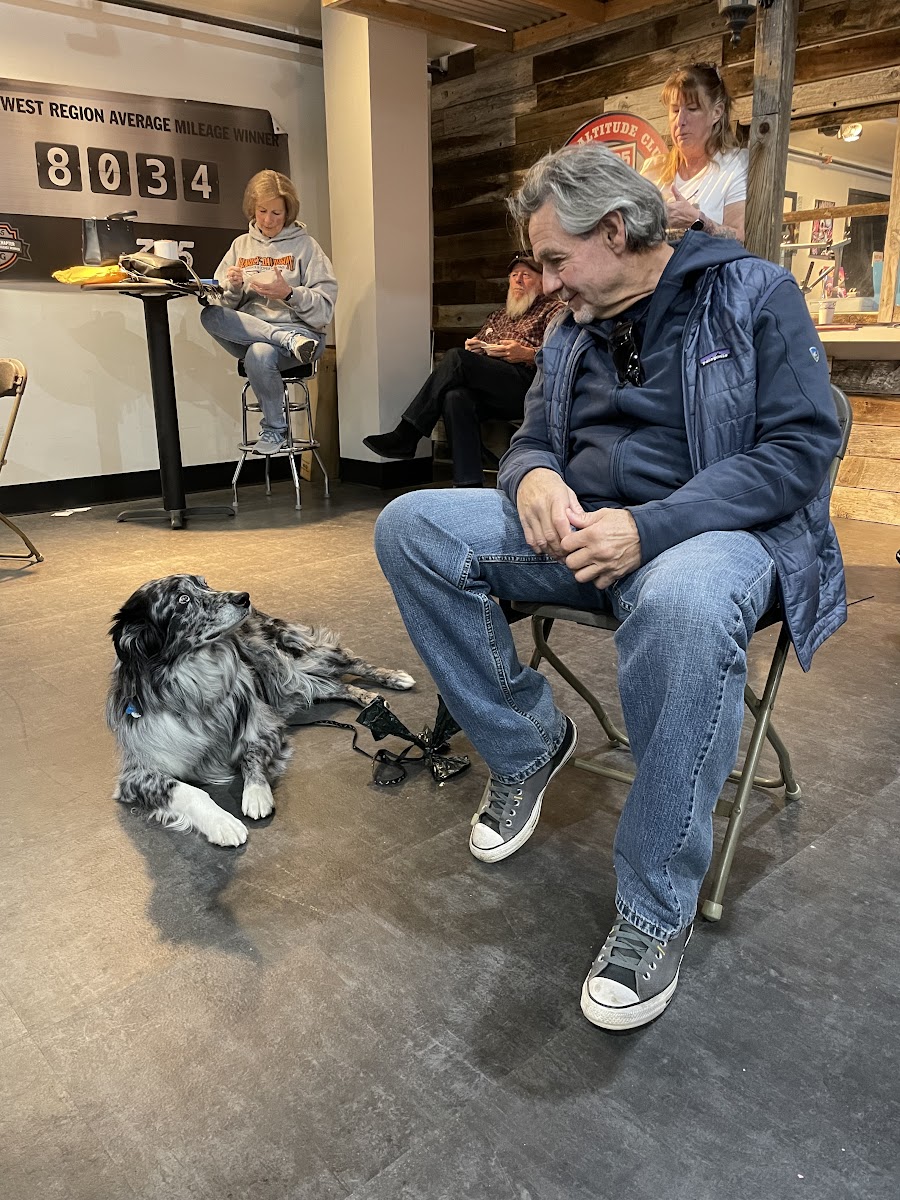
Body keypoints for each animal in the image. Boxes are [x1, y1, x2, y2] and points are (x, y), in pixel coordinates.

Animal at [107, 574, 415, 846]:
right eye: (183, 599)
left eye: (205, 583)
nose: (244, 597)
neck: (195, 684)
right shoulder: (137, 775)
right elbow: (188, 791)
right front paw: (223, 823)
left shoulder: (264, 725)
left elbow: (250, 755)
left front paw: (256, 794)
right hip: (290, 680)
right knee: (336, 685)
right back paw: (370, 699)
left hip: (297, 657)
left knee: (352, 661)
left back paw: (393, 678)